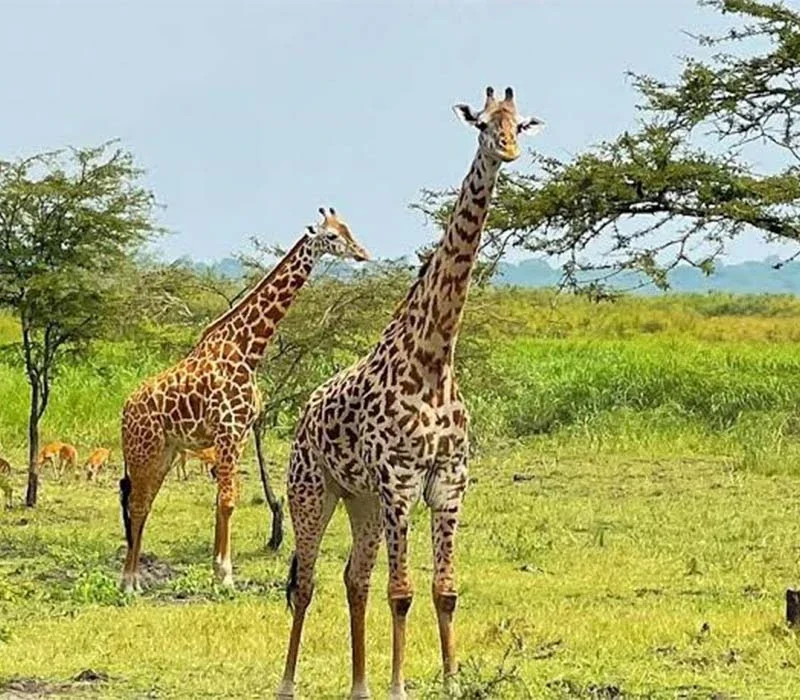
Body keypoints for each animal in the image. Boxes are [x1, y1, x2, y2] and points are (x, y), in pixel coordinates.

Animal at [118, 208, 371, 593]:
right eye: (331, 236)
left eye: (348, 229)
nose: (362, 253)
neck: (248, 350)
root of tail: (125, 410)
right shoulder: (227, 429)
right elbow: (227, 501)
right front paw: (225, 575)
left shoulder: (238, 434)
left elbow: (222, 501)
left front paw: (217, 569)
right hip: (142, 449)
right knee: (136, 503)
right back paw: (129, 581)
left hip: (166, 451)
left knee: (144, 503)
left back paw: (133, 577)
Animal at [276, 87, 544, 700]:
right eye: (482, 124)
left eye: (519, 123)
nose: (509, 149)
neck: (433, 360)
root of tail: (303, 413)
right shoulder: (399, 480)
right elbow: (402, 594)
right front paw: (401, 686)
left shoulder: (448, 480)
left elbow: (445, 590)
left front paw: (450, 681)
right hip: (313, 489)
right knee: (305, 582)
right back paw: (288, 683)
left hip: (363, 500)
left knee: (354, 578)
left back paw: (360, 686)